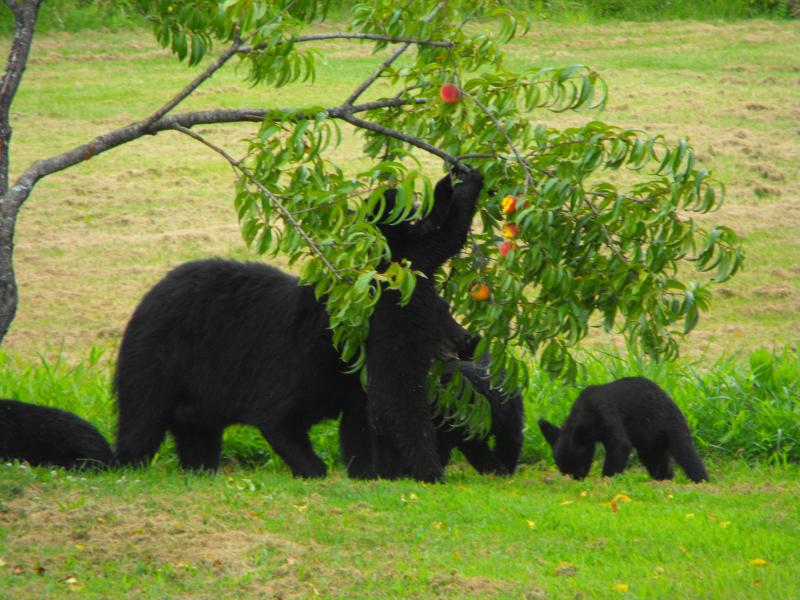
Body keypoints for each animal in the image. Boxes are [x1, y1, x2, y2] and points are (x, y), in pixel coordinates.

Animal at [114, 170, 482, 480]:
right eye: (442, 314)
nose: (468, 340)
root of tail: (145, 301)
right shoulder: (299, 358)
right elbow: (278, 414)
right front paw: (315, 469)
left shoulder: (351, 383)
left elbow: (358, 429)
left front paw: (366, 471)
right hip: (156, 359)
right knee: (142, 421)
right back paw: (127, 462)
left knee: (198, 435)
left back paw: (200, 469)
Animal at [538, 377, 708, 482]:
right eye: (562, 470)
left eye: (579, 464)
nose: (577, 479)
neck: (584, 412)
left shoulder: (606, 413)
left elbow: (620, 445)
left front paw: (607, 479)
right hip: (651, 439)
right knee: (655, 458)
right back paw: (663, 480)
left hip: (671, 423)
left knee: (685, 452)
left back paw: (701, 481)